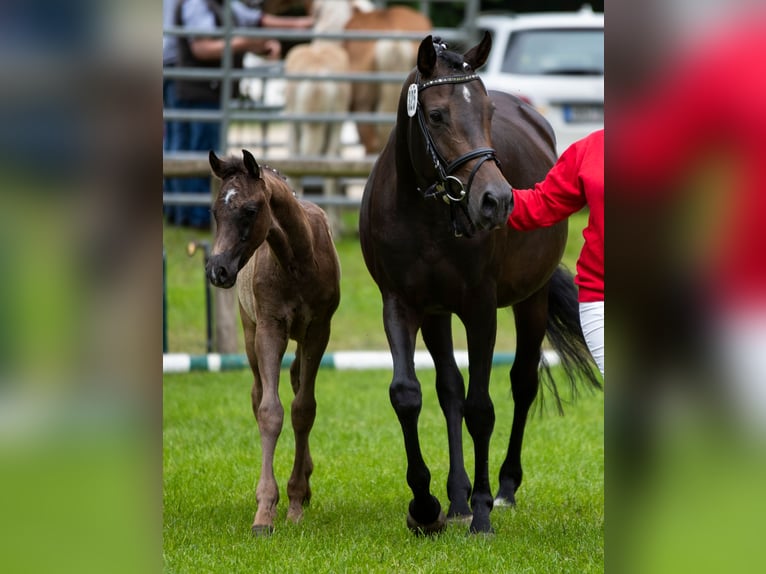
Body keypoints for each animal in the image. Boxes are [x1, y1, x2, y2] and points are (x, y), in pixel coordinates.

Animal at [208, 148, 344, 536]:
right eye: (214, 211)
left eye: (250, 210)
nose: (217, 270)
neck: (298, 259)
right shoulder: (270, 328)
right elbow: (271, 411)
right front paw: (265, 512)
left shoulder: (319, 330)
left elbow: (303, 409)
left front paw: (295, 501)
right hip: (249, 331)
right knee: (257, 395)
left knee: (298, 381)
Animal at [362, 36, 608, 536]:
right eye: (437, 114)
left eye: (488, 111)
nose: (496, 201)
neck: (424, 214)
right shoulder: (401, 304)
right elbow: (409, 395)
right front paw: (426, 505)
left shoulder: (480, 309)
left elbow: (481, 407)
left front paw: (480, 511)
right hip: (437, 316)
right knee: (449, 390)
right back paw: (455, 499)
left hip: (530, 302)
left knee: (522, 384)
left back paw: (504, 489)